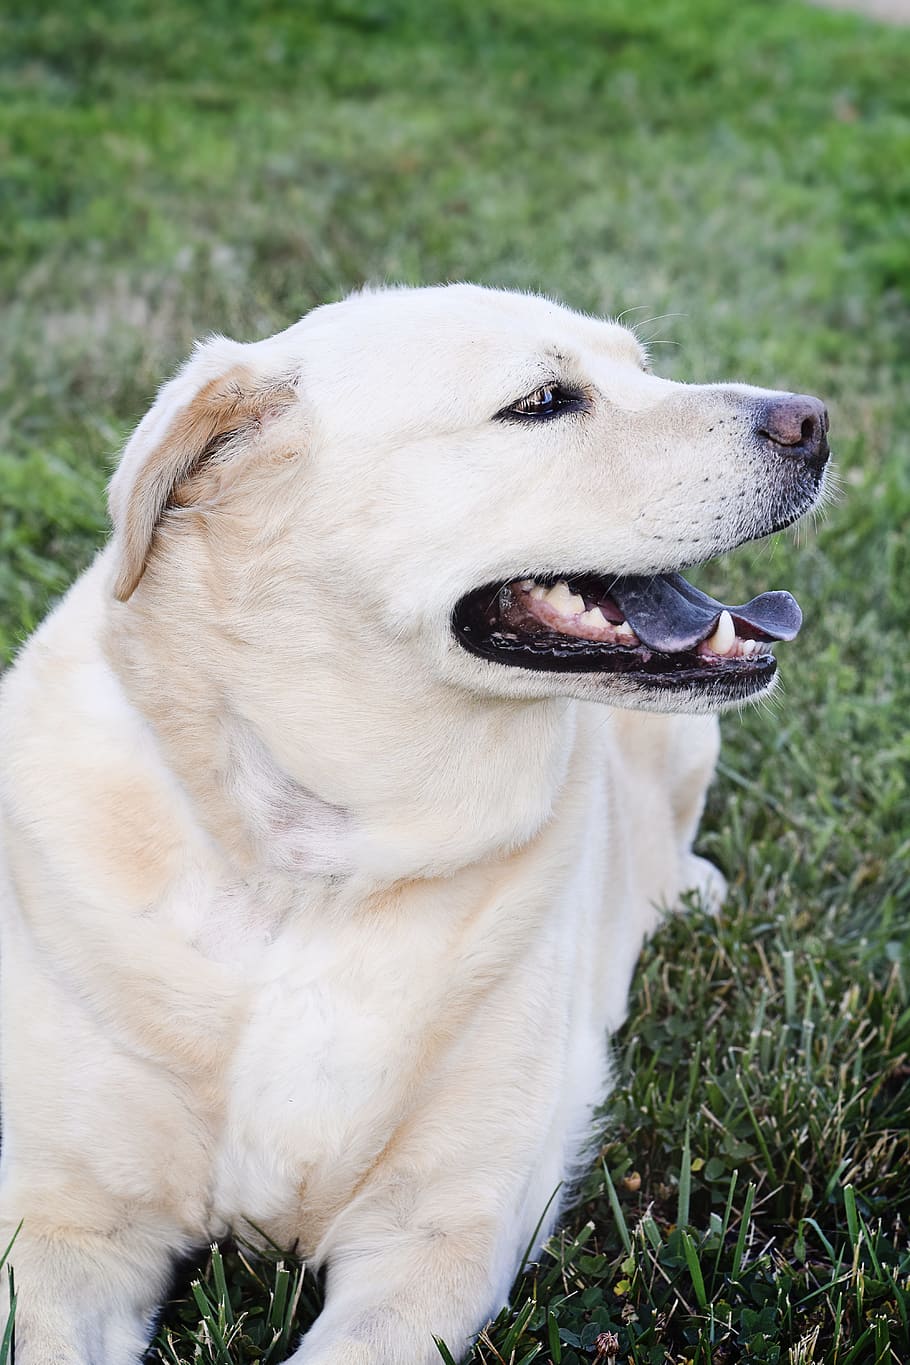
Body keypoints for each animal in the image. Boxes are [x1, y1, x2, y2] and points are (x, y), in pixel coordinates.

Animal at [0, 282, 834, 1359]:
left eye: (643, 369)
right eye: (543, 401)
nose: (814, 420)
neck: (314, 858)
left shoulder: (438, 1228)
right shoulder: (65, 1224)